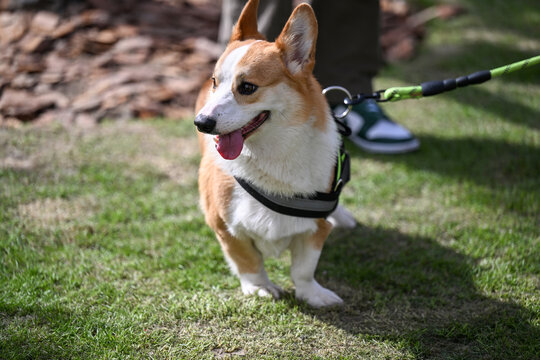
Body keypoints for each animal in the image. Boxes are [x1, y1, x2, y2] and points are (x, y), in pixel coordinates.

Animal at [193, 0, 354, 306]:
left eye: (247, 87)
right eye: (216, 82)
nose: (201, 123)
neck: (271, 154)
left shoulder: (315, 229)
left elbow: (303, 269)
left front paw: (313, 294)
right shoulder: (224, 227)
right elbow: (247, 261)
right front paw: (260, 287)